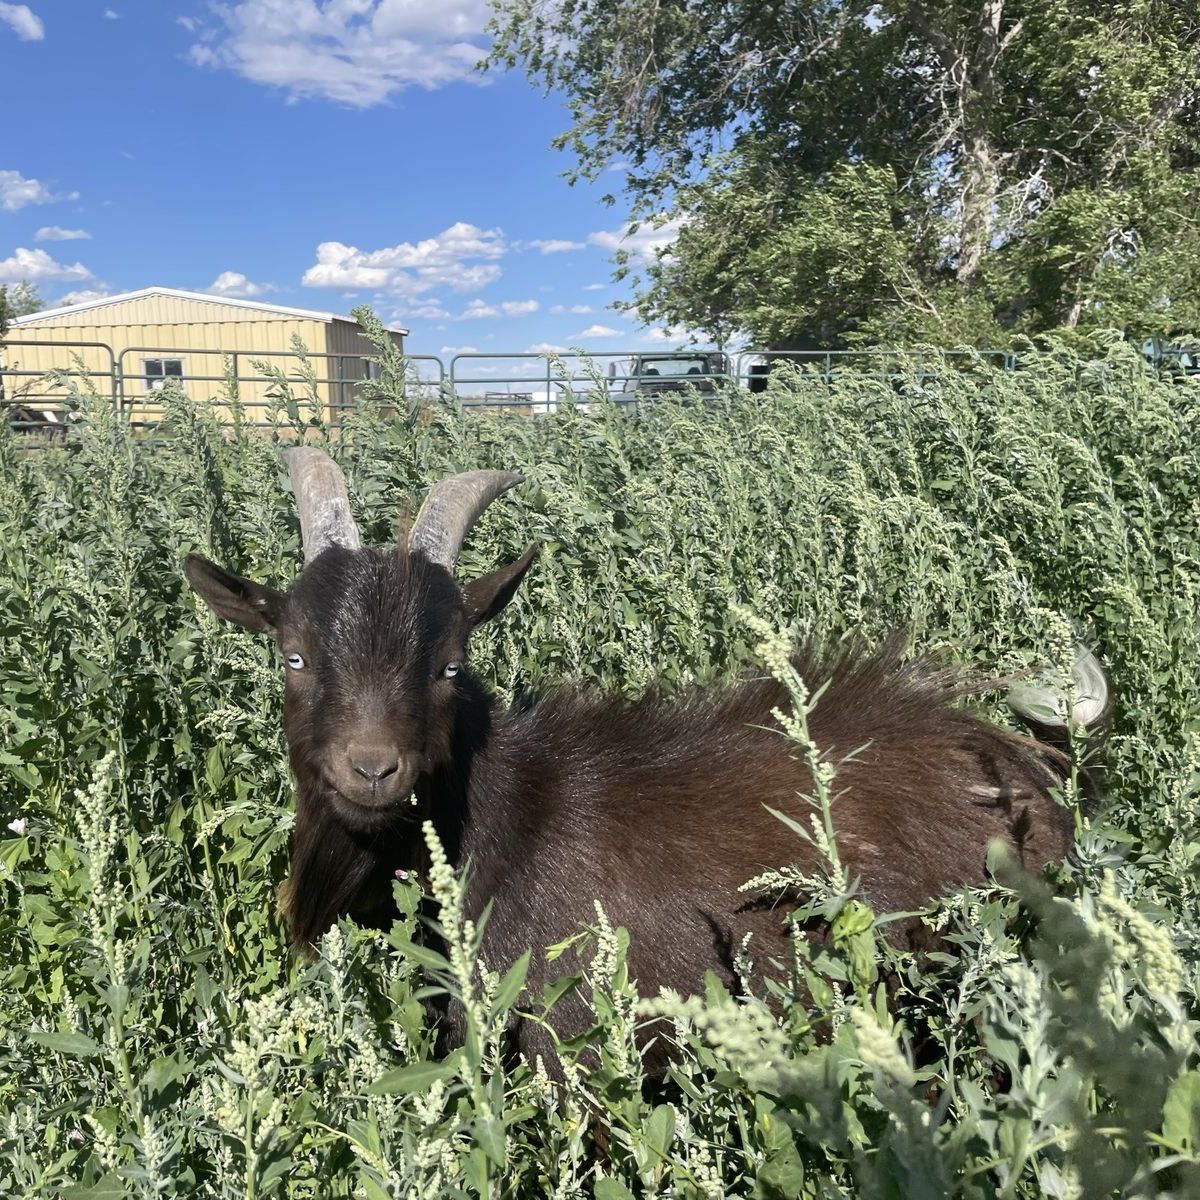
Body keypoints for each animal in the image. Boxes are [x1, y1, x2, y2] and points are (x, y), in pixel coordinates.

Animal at [183, 450, 1109, 1067]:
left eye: (449, 664)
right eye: (294, 657)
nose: (373, 770)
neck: (505, 827)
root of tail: (1019, 767)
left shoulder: (575, 1052)